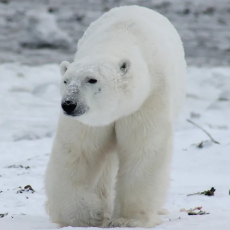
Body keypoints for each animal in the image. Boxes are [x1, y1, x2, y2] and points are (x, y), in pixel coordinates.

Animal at [44, 5, 186, 228]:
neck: (119, 38)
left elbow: (143, 150)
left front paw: (128, 219)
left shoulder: (148, 100)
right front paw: (88, 214)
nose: (68, 104)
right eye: (66, 80)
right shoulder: (90, 121)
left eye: (92, 79)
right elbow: (78, 151)